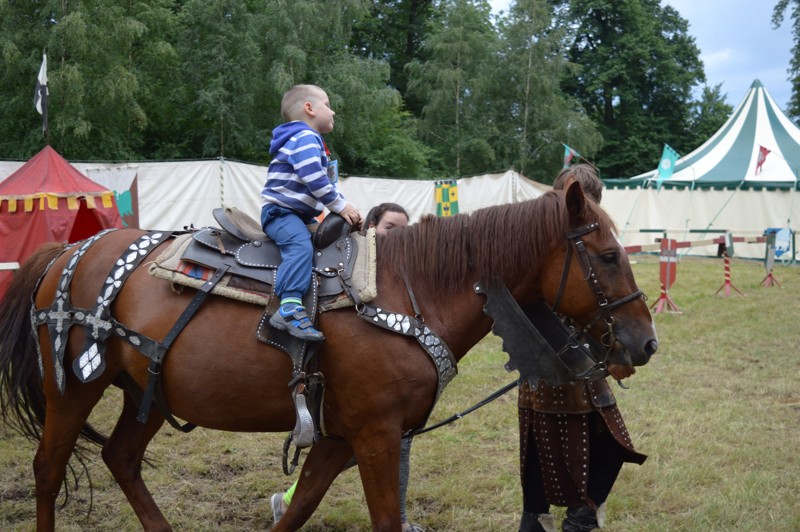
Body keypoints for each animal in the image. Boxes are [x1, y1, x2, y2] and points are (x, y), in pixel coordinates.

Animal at [1, 184, 656, 532]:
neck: (408, 289)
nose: (644, 341)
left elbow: (298, 508)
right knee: (48, 469)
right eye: (605, 255)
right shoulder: (375, 435)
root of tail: (68, 251)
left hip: (148, 392)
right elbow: (381, 518)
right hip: (73, 390)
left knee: (120, 458)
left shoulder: (340, 438)